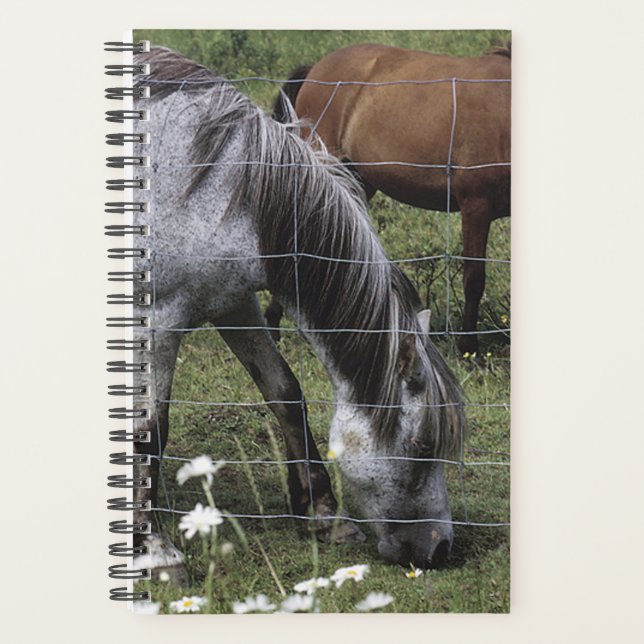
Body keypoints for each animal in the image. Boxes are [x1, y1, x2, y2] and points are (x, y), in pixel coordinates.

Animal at [126, 47, 464, 581]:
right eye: (424, 447)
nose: (438, 549)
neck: (222, 187)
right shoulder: (161, 323)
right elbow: (151, 428)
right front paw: (156, 551)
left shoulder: (232, 304)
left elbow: (285, 392)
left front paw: (324, 515)